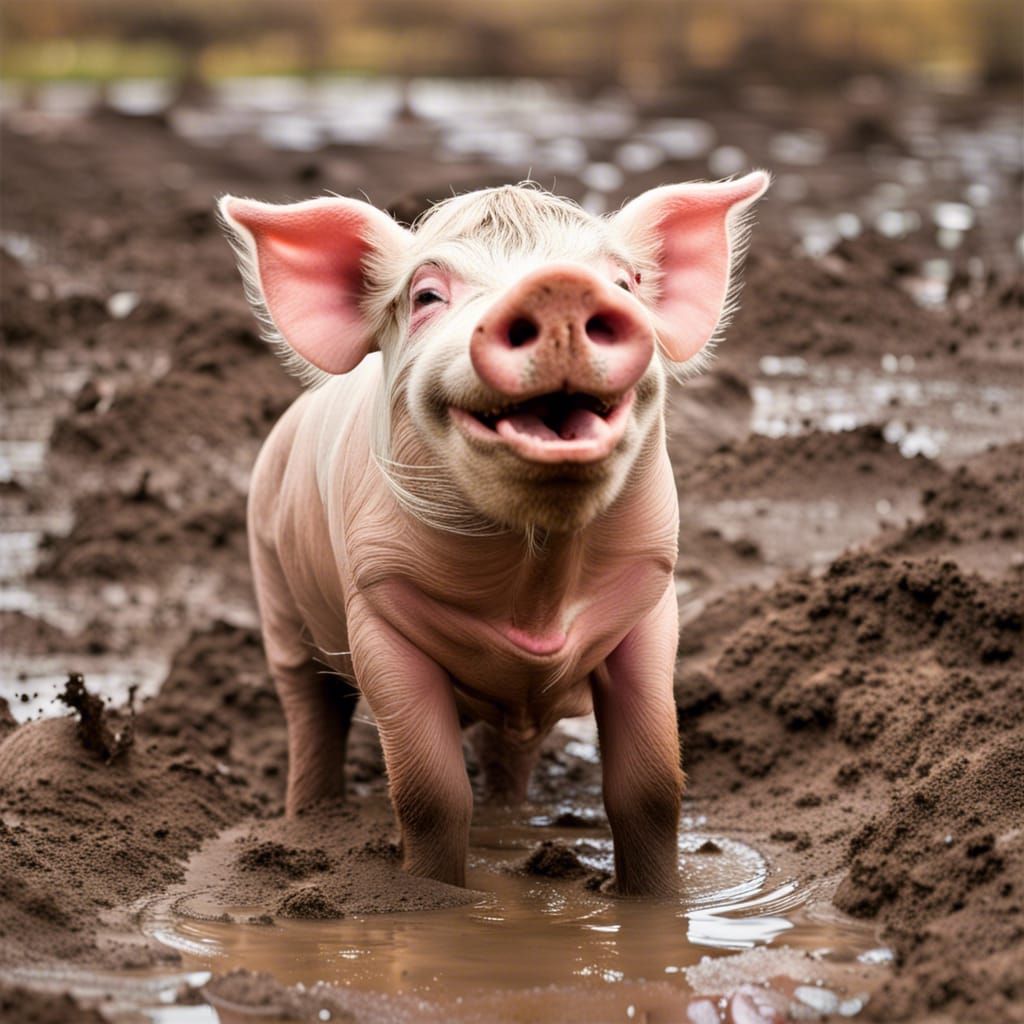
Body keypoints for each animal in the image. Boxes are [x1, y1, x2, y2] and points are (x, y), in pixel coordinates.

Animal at [218, 172, 768, 897]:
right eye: (425, 295)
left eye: (623, 283)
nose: (560, 287)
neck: (535, 596)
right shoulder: (377, 607)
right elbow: (431, 793)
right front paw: (437, 898)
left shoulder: (651, 604)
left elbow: (651, 789)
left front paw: (652, 901)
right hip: (275, 591)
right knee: (309, 713)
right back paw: (307, 822)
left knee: (508, 753)